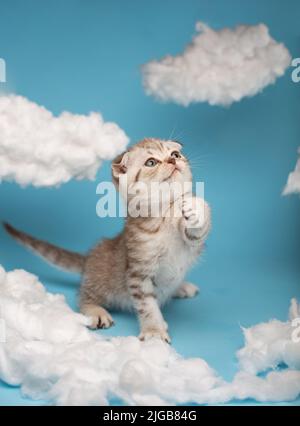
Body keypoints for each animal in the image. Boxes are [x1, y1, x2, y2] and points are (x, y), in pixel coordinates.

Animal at [4, 140, 211, 342]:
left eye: (175, 154)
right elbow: (147, 305)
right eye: (151, 162)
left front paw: (196, 207)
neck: (165, 212)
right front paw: (154, 331)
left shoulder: (191, 242)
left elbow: (197, 231)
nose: (173, 160)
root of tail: (89, 259)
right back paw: (95, 311)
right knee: (83, 296)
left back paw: (181, 286)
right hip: (102, 283)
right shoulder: (138, 272)